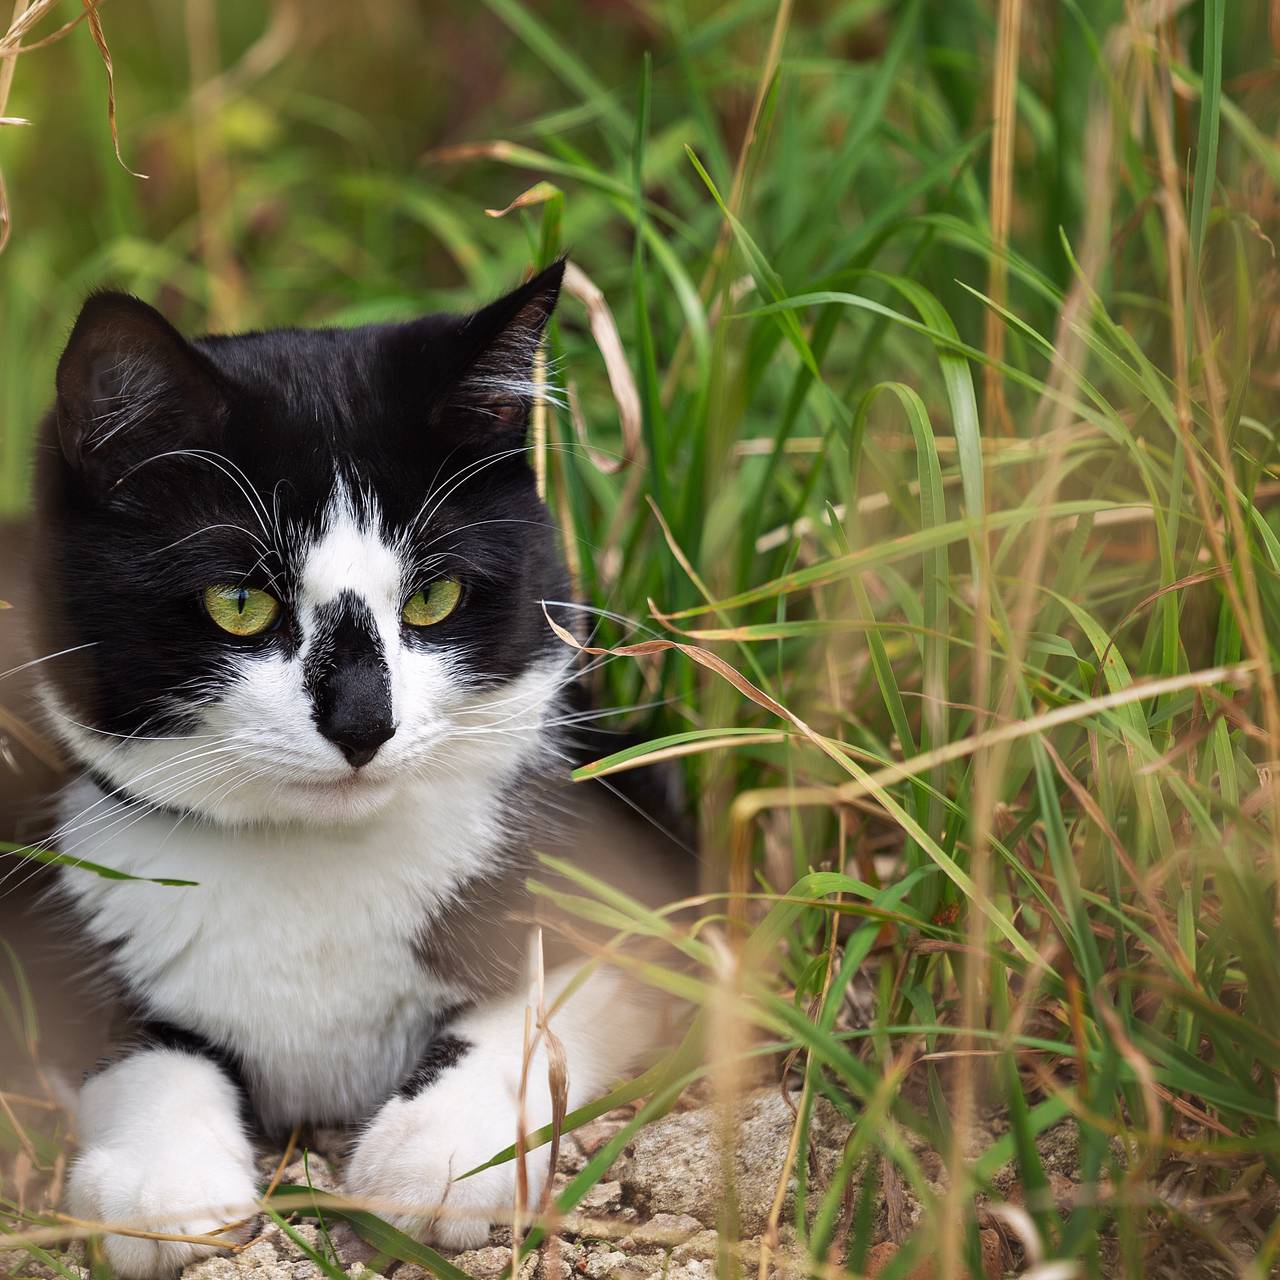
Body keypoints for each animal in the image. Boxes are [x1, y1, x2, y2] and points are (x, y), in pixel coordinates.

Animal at [32, 264, 660, 1274]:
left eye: (435, 596)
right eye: (239, 602)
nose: (365, 723)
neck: (314, 864)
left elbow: (544, 1000)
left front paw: (433, 1157)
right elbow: (132, 1042)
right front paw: (162, 1185)